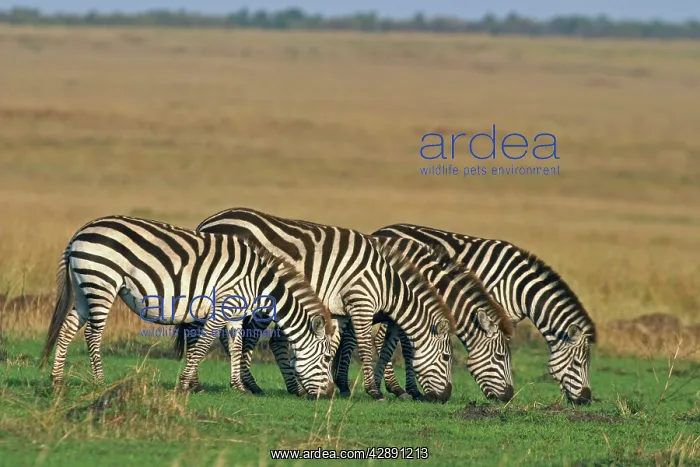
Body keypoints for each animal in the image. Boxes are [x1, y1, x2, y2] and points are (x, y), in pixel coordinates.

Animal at [38, 215, 336, 398]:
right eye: (326, 358)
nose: (331, 394)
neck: (258, 281)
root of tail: (81, 232)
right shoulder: (221, 307)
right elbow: (203, 346)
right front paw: (185, 385)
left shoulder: (235, 314)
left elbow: (236, 347)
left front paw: (238, 386)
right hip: (102, 282)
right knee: (92, 334)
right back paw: (100, 381)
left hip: (83, 288)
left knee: (67, 330)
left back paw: (56, 381)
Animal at [179, 236, 516, 403]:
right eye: (501, 357)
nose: (510, 397)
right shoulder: (373, 306)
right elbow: (385, 346)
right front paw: (387, 390)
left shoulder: (374, 311)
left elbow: (373, 345)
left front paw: (349, 385)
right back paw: (243, 384)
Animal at [365, 223, 597, 405]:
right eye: (578, 364)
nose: (586, 399)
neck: (519, 287)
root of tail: (382, 230)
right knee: (382, 338)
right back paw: (395, 388)